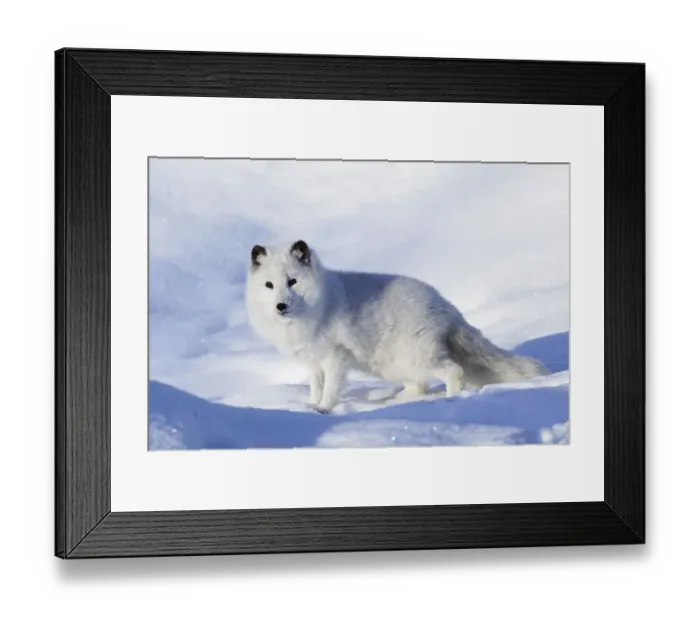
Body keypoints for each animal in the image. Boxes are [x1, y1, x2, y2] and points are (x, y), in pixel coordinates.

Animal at [246, 240, 549, 413]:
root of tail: (445, 305)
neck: (317, 306)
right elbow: (316, 387)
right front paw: (310, 406)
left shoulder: (335, 358)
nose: (280, 306)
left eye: (293, 281)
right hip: (396, 364)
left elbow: (330, 389)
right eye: (269, 285)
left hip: (417, 357)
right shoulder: (313, 361)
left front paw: (324, 410)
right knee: (419, 387)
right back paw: (393, 401)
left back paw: (451, 399)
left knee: (453, 371)